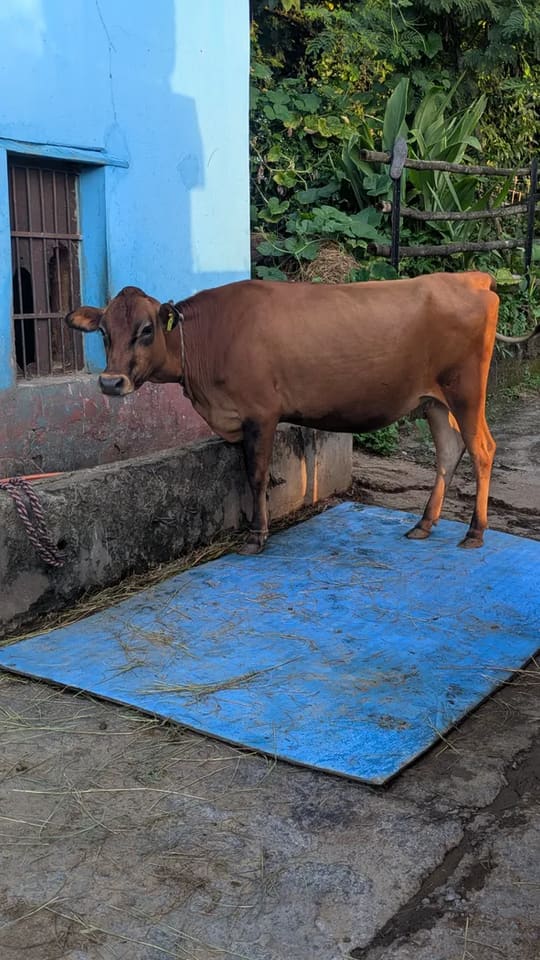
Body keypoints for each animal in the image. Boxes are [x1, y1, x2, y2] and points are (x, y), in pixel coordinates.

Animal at [66, 272, 510, 555]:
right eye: (103, 332)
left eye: (146, 330)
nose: (111, 382)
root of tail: (470, 277)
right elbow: (242, 476)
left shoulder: (261, 413)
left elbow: (256, 475)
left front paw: (256, 536)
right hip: (433, 400)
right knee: (448, 451)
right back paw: (423, 524)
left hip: (466, 391)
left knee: (483, 449)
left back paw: (475, 531)